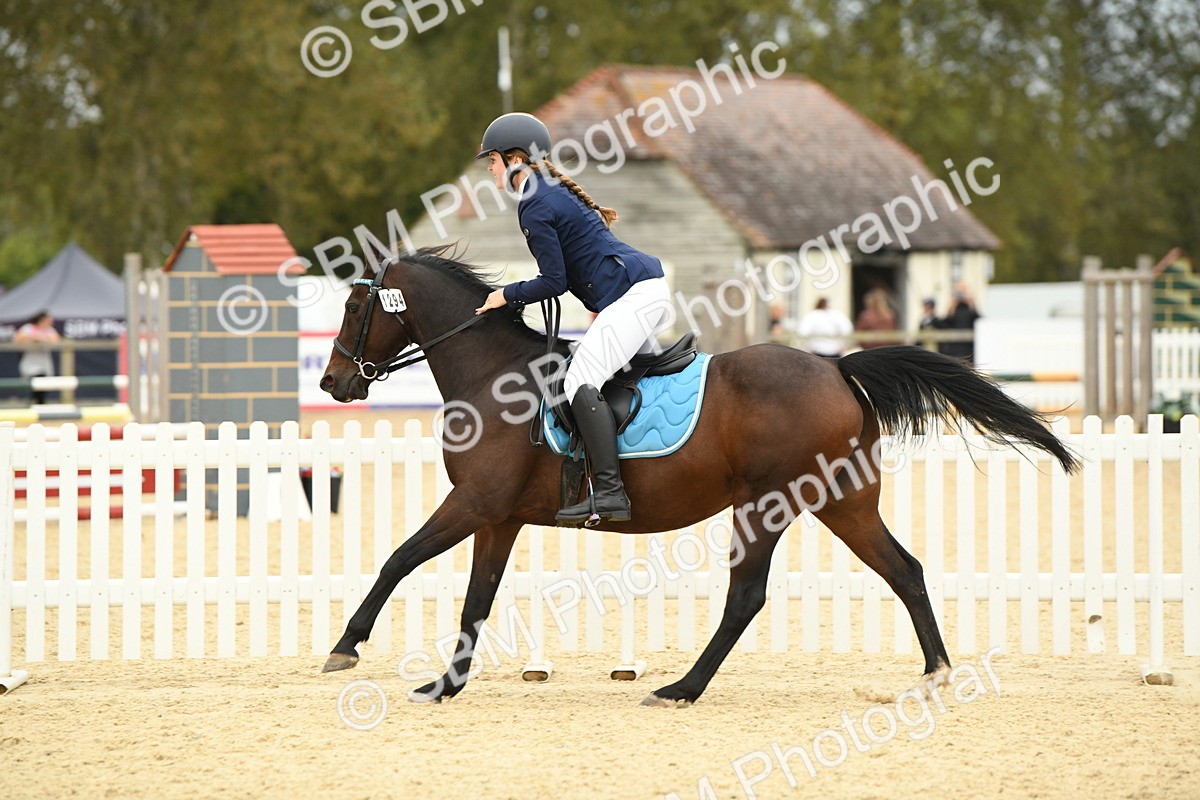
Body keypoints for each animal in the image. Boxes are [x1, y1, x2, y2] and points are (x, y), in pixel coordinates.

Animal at [318, 246, 1078, 706]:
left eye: (354, 309)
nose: (332, 383)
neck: (492, 374)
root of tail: (835, 367)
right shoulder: (497, 516)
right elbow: (475, 599)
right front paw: (444, 686)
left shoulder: (473, 502)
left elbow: (397, 560)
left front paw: (345, 648)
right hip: (843, 503)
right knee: (905, 570)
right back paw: (936, 671)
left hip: (765, 505)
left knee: (746, 598)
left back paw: (681, 688)